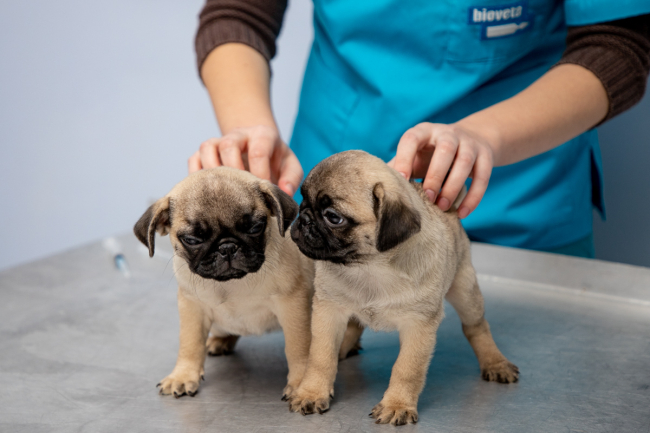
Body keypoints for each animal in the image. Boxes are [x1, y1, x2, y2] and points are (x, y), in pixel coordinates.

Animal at [288, 150, 519, 425]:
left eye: (333, 217)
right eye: (302, 199)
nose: (303, 218)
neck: (369, 268)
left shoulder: (419, 326)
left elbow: (407, 369)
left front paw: (397, 404)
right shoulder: (329, 310)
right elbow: (320, 357)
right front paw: (312, 392)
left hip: (465, 291)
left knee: (477, 327)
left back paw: (495, 363)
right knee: (354, 324)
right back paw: (344, 348)